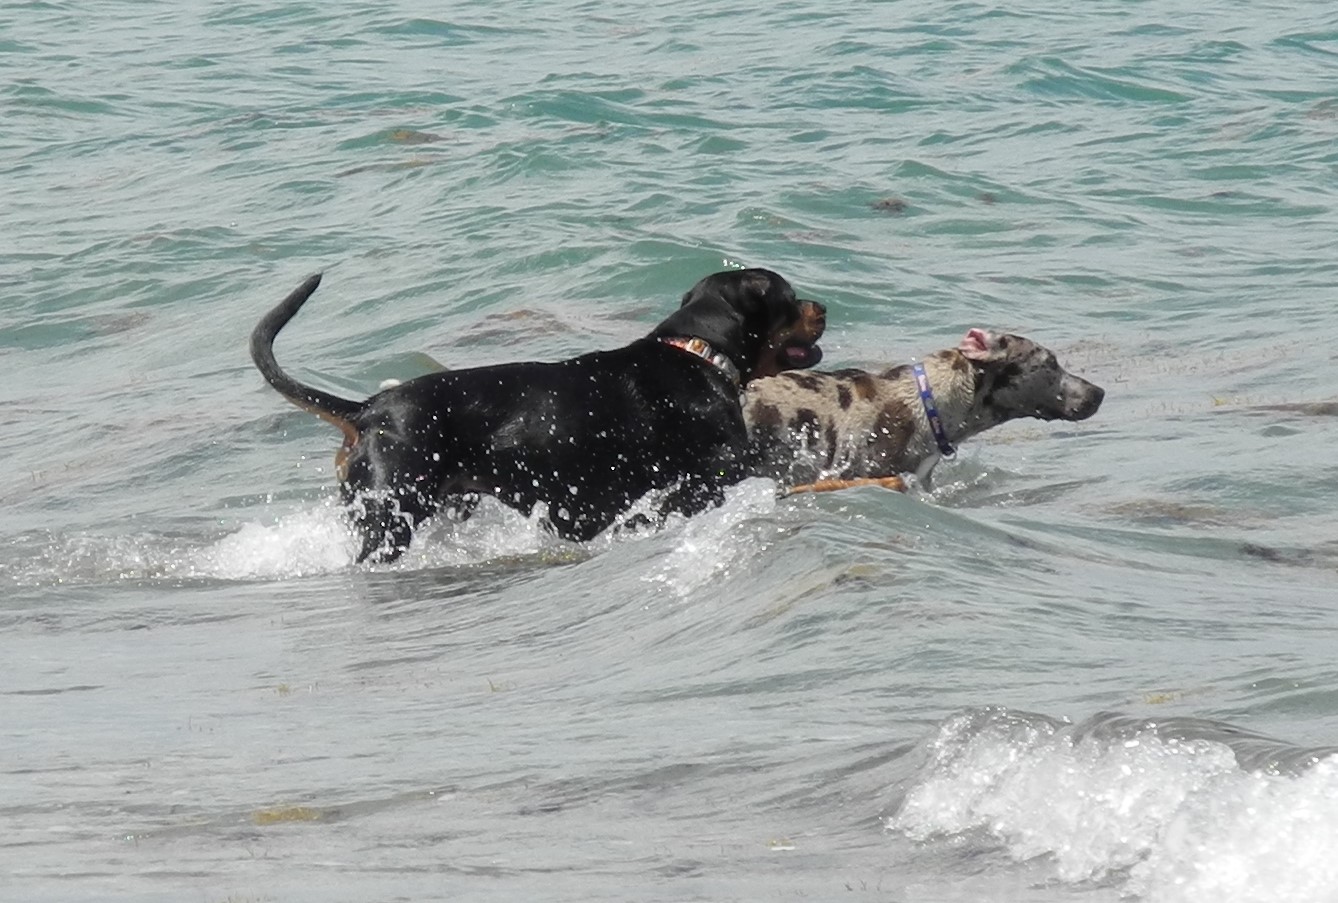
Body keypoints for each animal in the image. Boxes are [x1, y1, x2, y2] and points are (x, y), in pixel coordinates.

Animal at [246, 270, 818, 564]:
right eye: (791, 298)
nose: (825, 307)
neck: (700, 353)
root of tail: (367, 411)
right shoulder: (713, 474)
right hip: (391, 513)